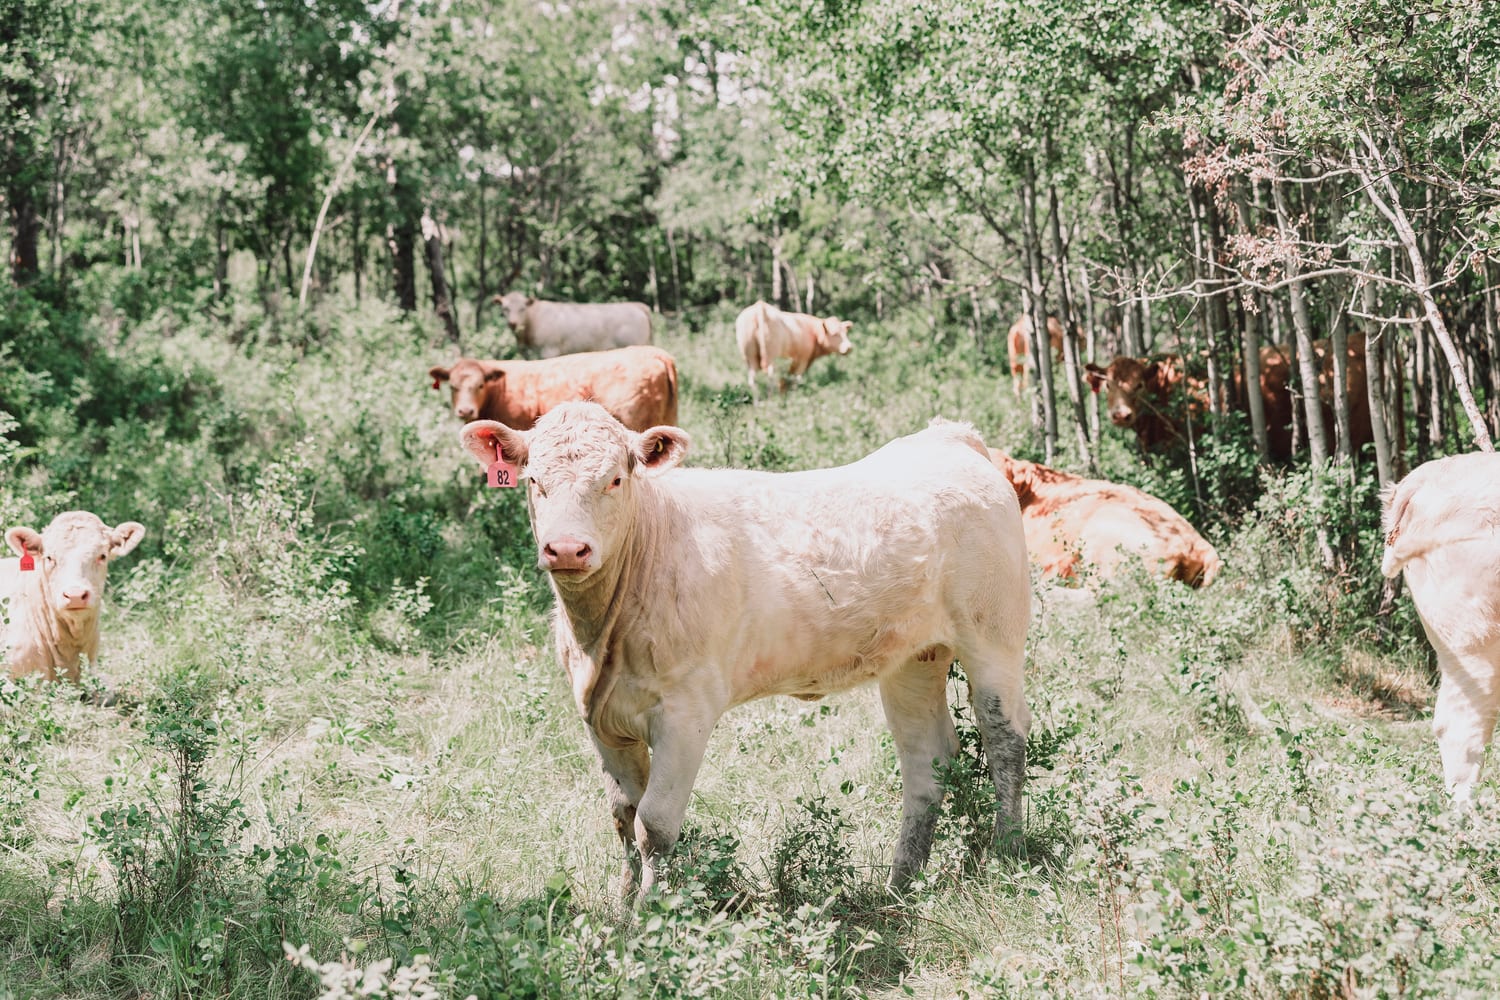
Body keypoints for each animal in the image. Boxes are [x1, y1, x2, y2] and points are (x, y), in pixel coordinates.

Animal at [459, 402, 1030, 900]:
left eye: (616, 480)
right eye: (535, 481)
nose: (567, 549)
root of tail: (948, 437)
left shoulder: (687, 710)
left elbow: (654, 825)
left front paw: (650, 919)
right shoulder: (600, 718)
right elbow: (623, 816)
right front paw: (620, 911)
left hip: (994, 636)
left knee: (1005, 737)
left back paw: (1007, 855)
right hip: (913, 658)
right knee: (926, 761)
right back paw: (900, 884)